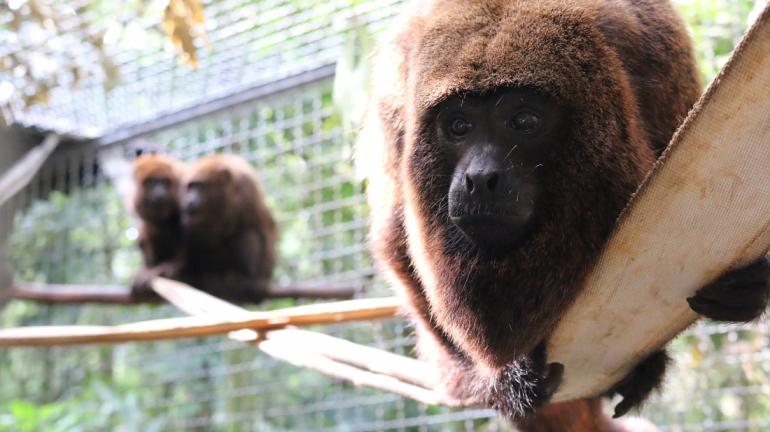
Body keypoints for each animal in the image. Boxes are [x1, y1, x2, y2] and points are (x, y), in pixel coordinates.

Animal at [174, 154, 276, 302]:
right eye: (190, 187)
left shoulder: (247, 187)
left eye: (199, 186)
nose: (189, 200)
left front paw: (263, 275)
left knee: (247, 234)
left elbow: (263, 223)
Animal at [364, 0, 768, 426]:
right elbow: (393, 238)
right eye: (458, 126)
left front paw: (752, 284)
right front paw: (493, 379)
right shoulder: (393, 100)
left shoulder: (660, 56)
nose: (480, 178)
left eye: (524, 121)